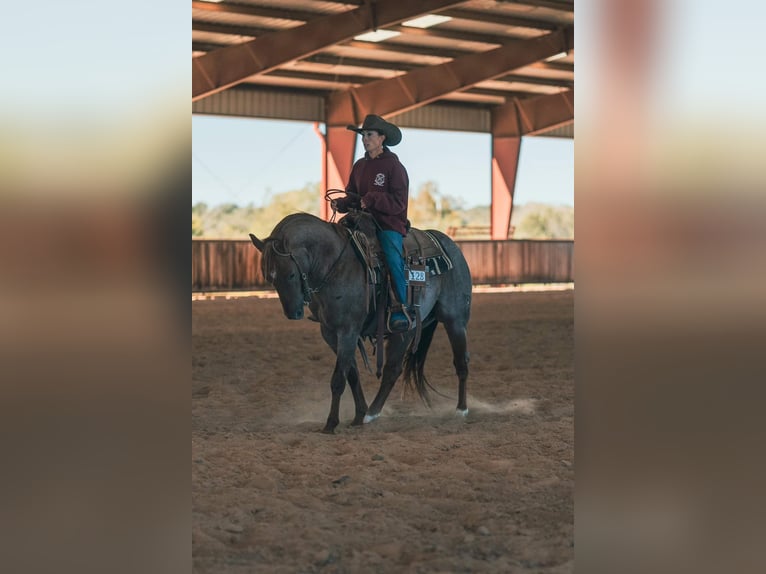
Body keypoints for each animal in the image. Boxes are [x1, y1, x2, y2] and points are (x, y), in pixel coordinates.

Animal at [249, 214, 472, 434]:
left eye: (291, 274)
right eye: (270, 278)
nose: (293, 313)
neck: (335, 264)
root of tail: (449, 244)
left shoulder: (348, 330)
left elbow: (338, 379)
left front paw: (331, 424)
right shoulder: (330, 333)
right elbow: (351, 374)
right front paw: (358, 415)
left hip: (455, 320)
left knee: (460, 362)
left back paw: (460, 409)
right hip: (406, 330)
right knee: (393, 370)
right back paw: (370, 413)